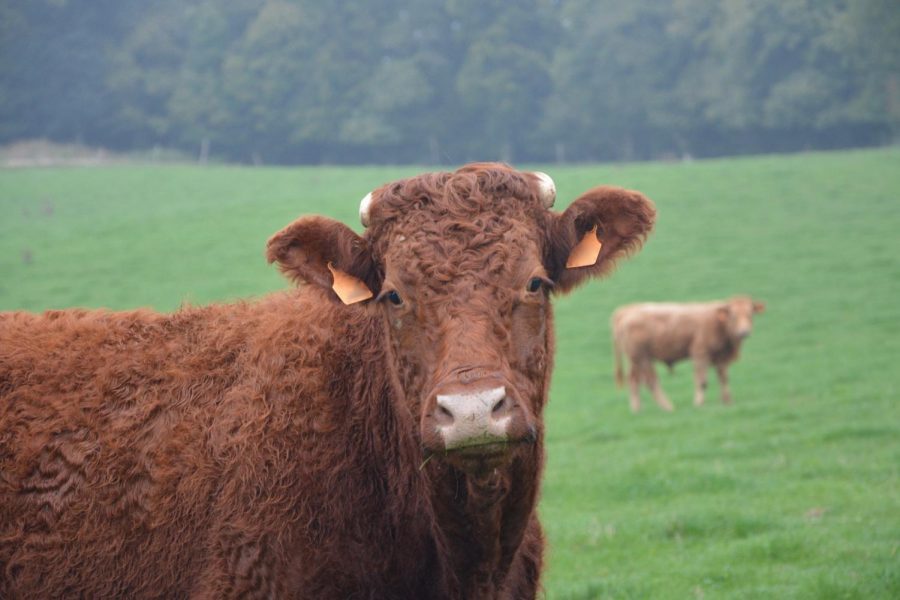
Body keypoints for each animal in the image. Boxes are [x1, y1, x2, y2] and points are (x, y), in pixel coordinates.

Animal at [608, 296, 764, 410]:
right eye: (733, 316)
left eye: (750, 315)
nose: (744, 332)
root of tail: (626, 313)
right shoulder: (700, 353)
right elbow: (702, 381)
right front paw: (699, 403)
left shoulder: (721, 358)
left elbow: (724, 379)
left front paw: (727, 401)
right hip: (643, 358)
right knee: (651, 382)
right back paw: (667, 407)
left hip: (635, 361)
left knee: (634, 381)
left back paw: (637, 409)